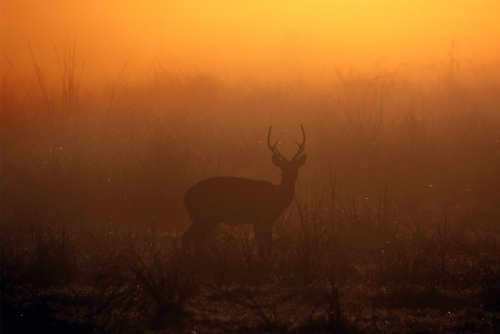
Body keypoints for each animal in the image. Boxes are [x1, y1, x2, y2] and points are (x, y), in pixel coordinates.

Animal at [182, 124, 306, 253]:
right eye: (283, 167)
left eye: (296, 166)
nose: (291, 175)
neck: (277, 196)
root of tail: (186, 196)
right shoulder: (259, 218)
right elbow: (262, 245)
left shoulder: (266, 221)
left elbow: (267, 244)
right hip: (202, 215)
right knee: (188, 237)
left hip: (209, 218)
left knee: (196, 239)